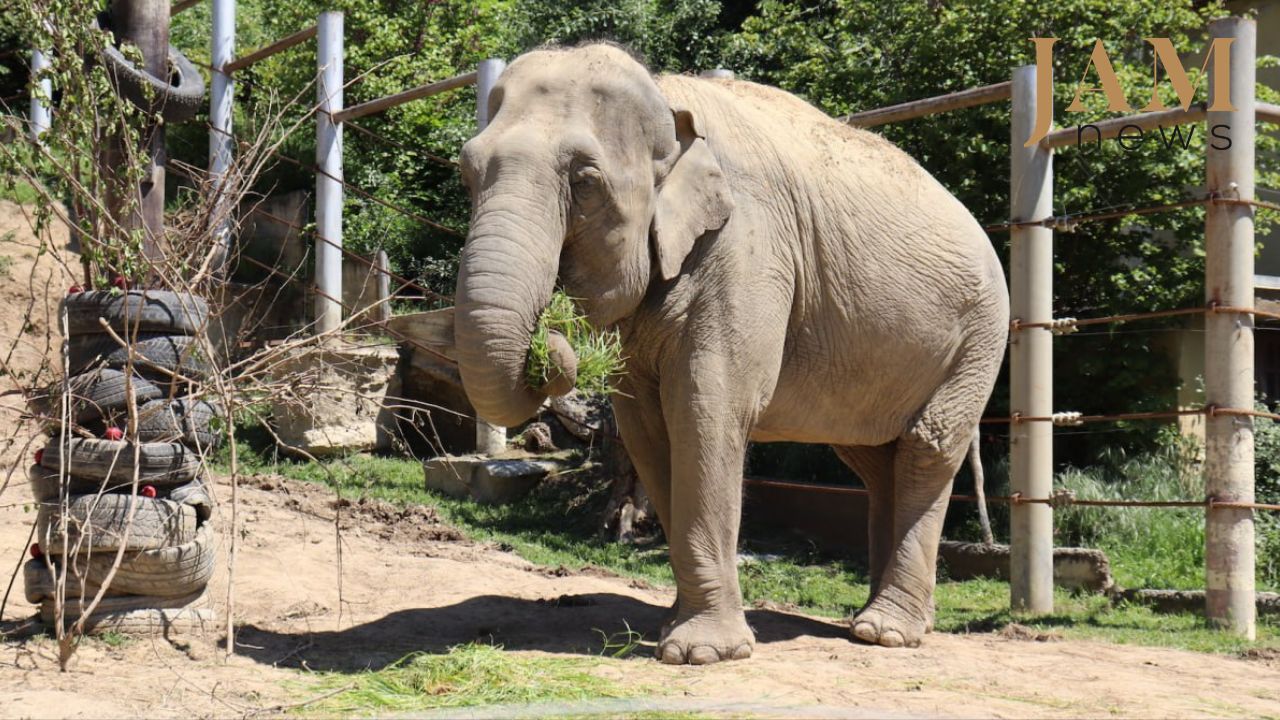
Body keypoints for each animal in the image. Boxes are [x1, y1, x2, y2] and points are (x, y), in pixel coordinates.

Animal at [453, 43, 1009, 664]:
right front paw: (671, 628)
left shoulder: (748, 246)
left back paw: (886, 633)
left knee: (927, 447)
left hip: (978, 339)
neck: (669, 98)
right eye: (466, 172)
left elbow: (707, 408)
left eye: (586, 180)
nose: (550, 335)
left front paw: (699, 653)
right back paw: (870, 620)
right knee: (873, 457)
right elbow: (648, 429)